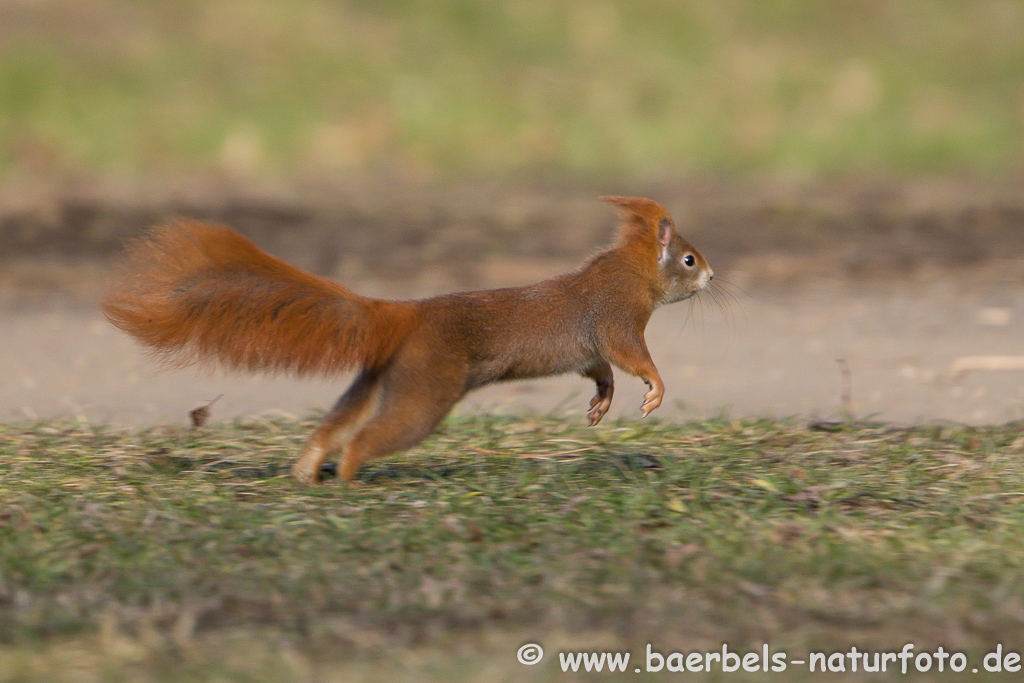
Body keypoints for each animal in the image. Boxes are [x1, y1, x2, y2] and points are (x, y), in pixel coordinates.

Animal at [101, 196, 712, 485]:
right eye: (688, 258)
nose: (711, 276)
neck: (629, 270)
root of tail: (403, 317)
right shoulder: (617, 316)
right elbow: (632, 356)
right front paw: (655, 390)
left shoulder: (592, 346)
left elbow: (601, 369)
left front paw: (602, 403)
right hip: (425, 386)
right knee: (365, 437)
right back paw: (349, 477)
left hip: (384, 376)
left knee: (336, 423)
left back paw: (307, 469)